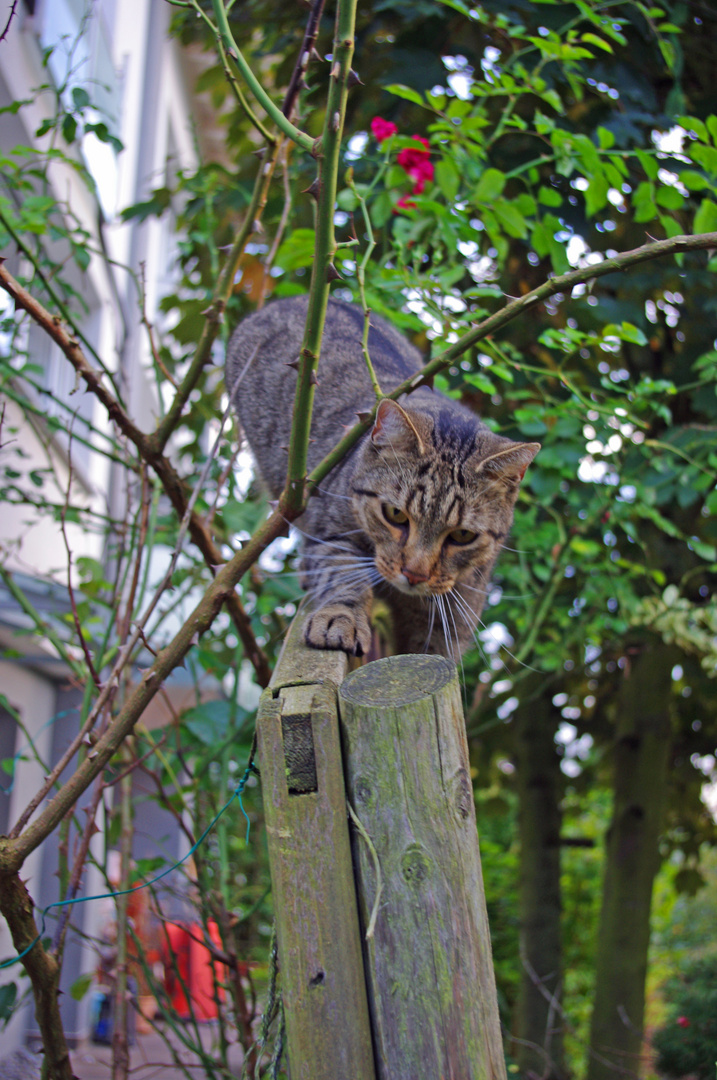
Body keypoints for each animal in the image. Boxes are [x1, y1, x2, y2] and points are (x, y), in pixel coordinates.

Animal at [227, 300, 537, 660]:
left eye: (462, 535)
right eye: (395, 515)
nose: (414, 574)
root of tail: (291, 300)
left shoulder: (457, 607)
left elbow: (435, 652)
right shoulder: (330, 532)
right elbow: (342, 574)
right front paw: (341, 618)